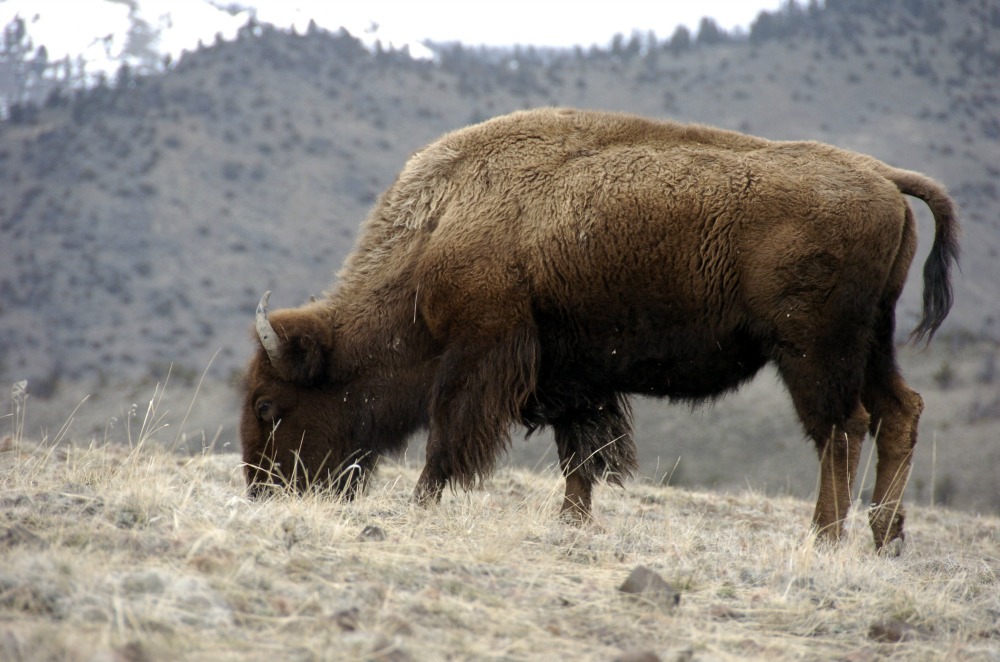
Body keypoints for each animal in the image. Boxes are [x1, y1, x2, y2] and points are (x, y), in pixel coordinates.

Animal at [240, 108, 959, 551]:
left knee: (843, 427)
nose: (262, 492)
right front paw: (573, 522)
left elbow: (448, 441)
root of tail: (882, 175)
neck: (441, 227)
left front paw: (422, 505)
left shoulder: (482, 354)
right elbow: (582, 455)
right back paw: (885, 538)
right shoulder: (573, 374)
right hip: (873, 343)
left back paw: (825, 538)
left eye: (269, 406)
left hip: (813, 351)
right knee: (900, 411)